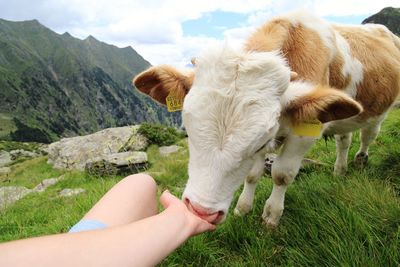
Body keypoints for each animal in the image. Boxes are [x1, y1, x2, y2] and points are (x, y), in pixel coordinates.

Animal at [134, 11, 400, 228]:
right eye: (187, 131)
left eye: (260, 143)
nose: (202, 211)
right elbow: (252, 174)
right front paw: (243, 208)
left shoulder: (304, 134)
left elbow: (282, 174)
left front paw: (271, 215)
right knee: (343, 140)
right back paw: (339, 170)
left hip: (379, 112)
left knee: (368, 135)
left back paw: (361, 160)